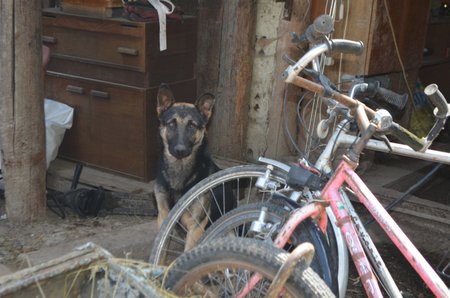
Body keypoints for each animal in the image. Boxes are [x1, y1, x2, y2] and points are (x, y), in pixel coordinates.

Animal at [155, 82, 236, 250]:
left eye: (192, 125)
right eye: (171, 124)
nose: (180, 150)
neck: (180, 171)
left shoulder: (196, 226)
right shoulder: (163, 217)